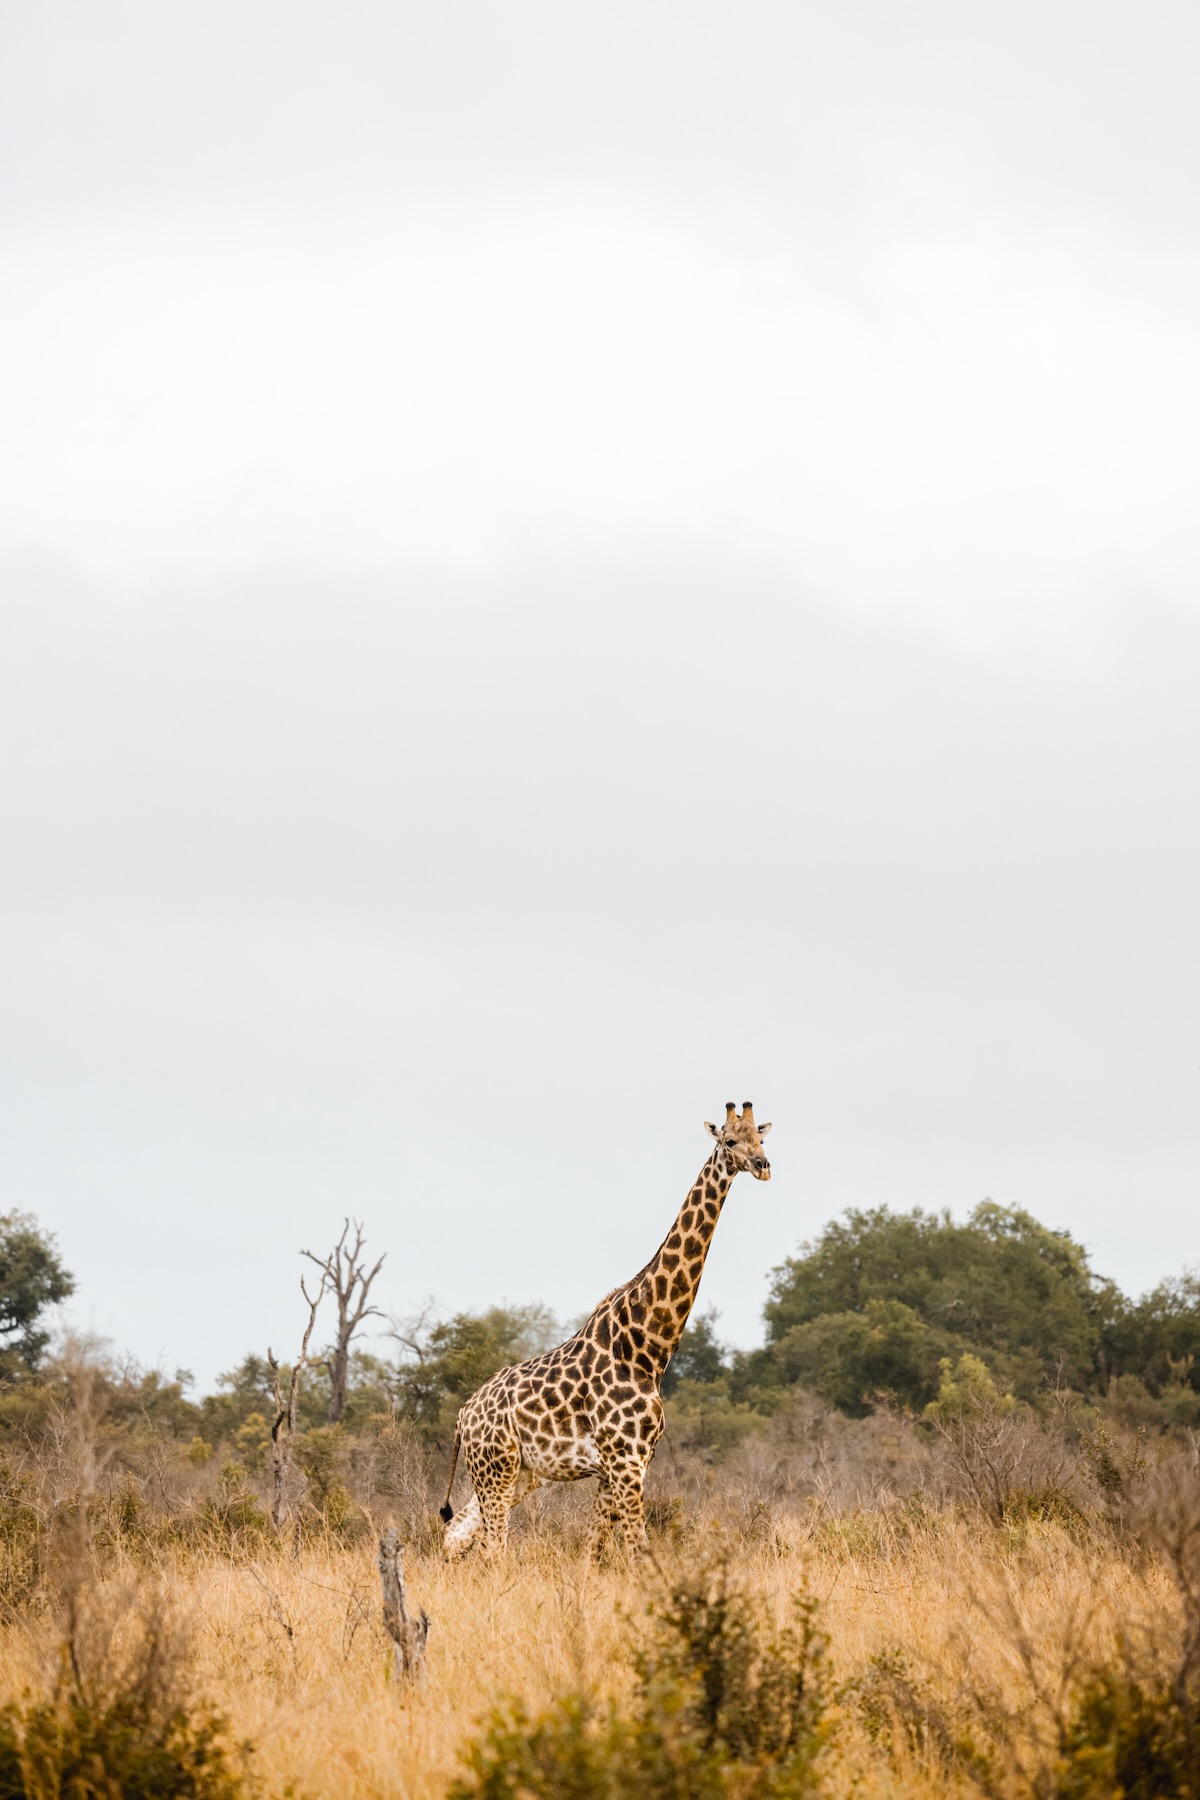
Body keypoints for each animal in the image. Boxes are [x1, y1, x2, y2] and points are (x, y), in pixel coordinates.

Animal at [438, 1094, 770, 1562]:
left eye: (761, 1136)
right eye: (729, 1140)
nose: (762, 1165)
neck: (648, 1347)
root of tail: (463, 1416)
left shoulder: (629, 1462)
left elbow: (593, 1551)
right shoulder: (625, 1460)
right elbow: (638, 1548)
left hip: (520, 1473)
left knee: (459, 1533)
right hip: (495, 1469)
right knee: (491, 1545)